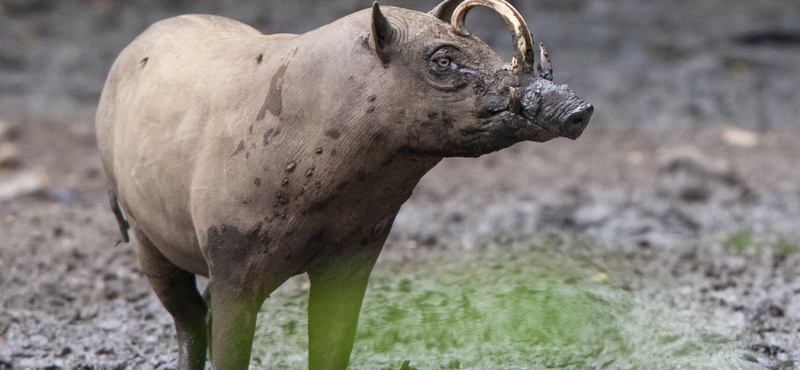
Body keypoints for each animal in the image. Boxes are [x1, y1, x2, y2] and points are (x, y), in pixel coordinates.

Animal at [95, 0, 592, 370]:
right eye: (443, 61)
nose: (578, 109)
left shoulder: (354, 258)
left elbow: (333, 346)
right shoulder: (232, 261)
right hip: (145, 232)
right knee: (191, 320)